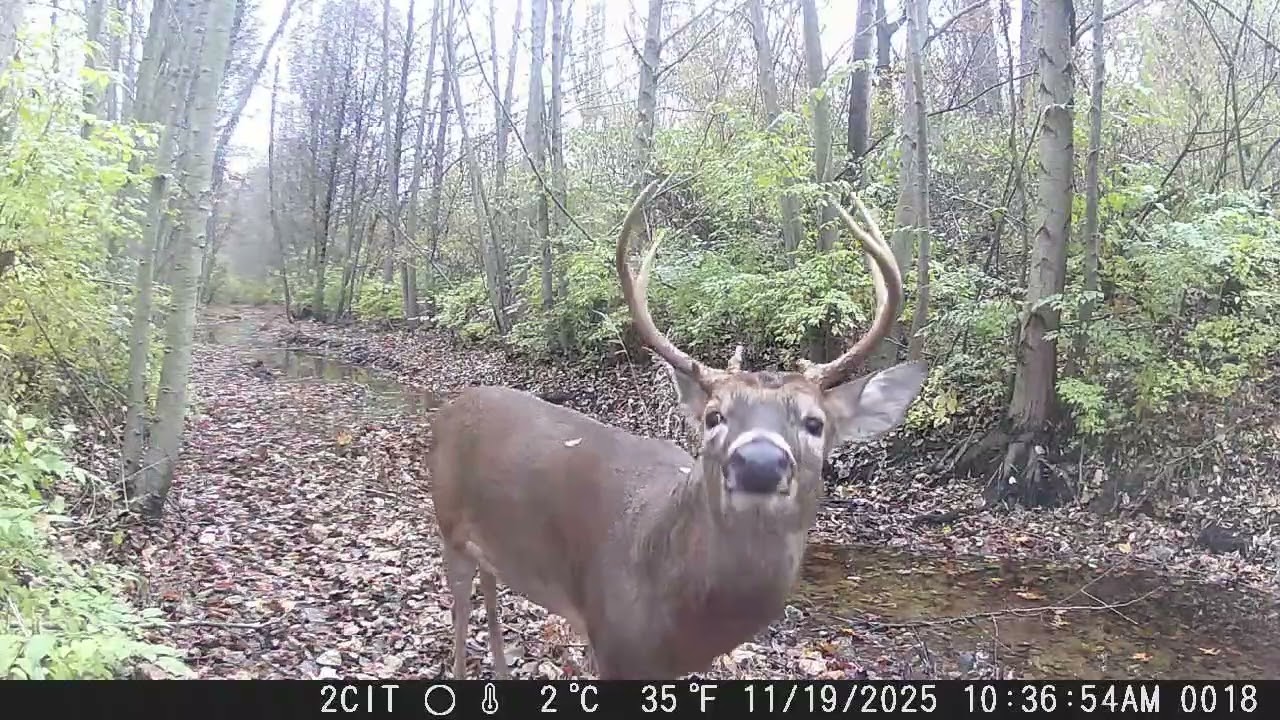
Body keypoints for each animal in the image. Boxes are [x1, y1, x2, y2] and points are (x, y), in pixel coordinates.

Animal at [429, 180, 929, 680]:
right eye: (713, 416)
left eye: (815, 423)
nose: (759, 463)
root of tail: (453, 406)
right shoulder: (607, 641)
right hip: (447, 523)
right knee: (461, 607)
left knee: (491, 588)